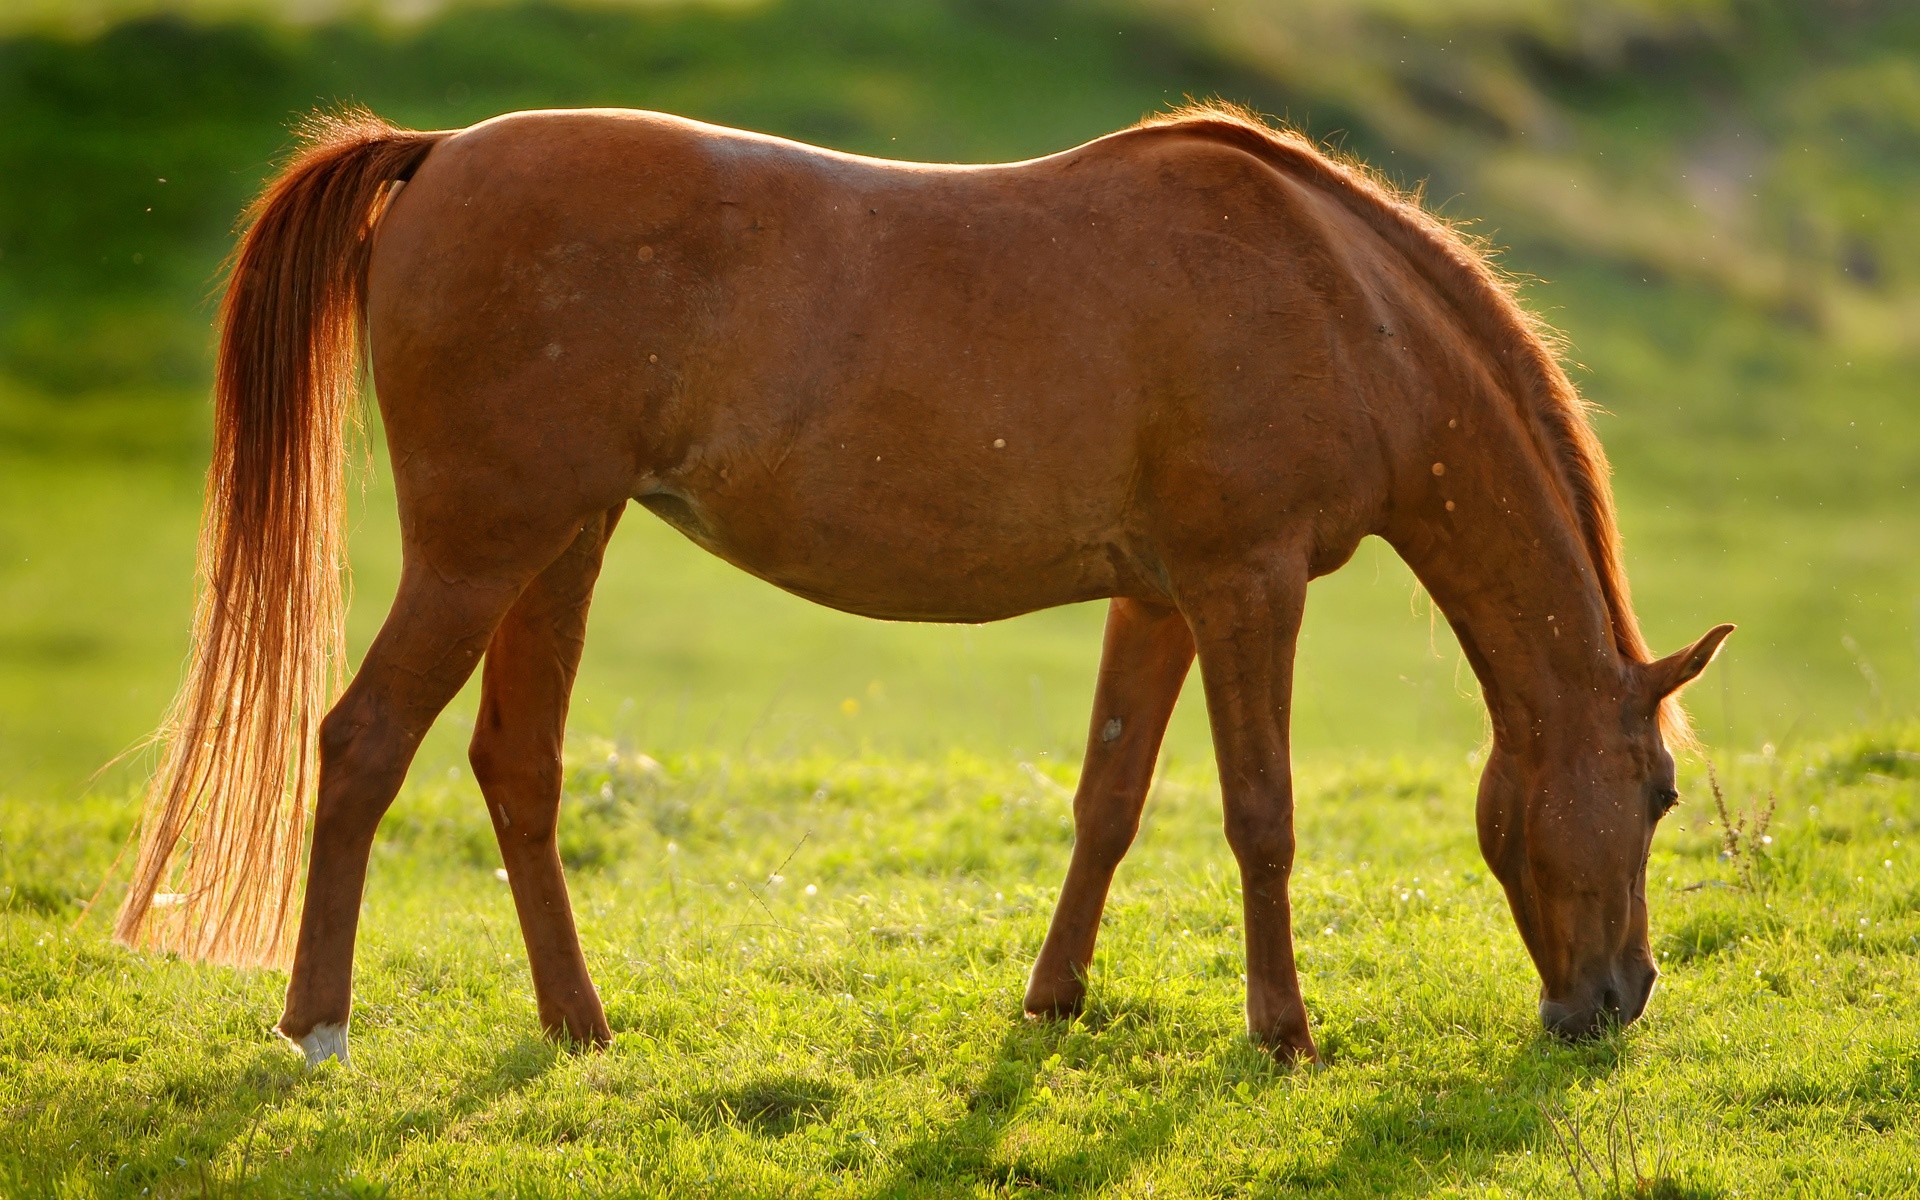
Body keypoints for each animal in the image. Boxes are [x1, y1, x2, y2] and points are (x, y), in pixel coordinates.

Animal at [114, 102, 1731, 1068]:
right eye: (1656, 793)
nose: (1619, 1001)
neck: (1341, 305)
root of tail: (441, 151)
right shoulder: (1247, 588)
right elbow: (1261, 816)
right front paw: (1284, 1035)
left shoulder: (1158, 600)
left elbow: (1110, 802)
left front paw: (1054, 1000)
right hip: (480, 550)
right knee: (360, 746)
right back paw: (318, 1030)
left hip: (559, 548)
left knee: (516, 768)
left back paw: (580, 1025)